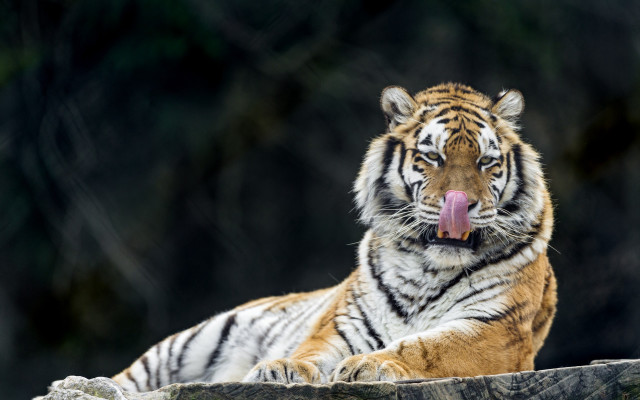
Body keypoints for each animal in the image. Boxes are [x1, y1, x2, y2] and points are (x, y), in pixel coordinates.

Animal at [110, 82, 556, 391]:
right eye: (433, 157)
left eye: (486, 161)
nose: (460, 205)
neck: (428, 267)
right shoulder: (343, 324)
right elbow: (314, 350)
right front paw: (282, 367)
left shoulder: (495, 329)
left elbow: (427, 345)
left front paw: (371, 364)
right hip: (193, 340)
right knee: (120, 381)